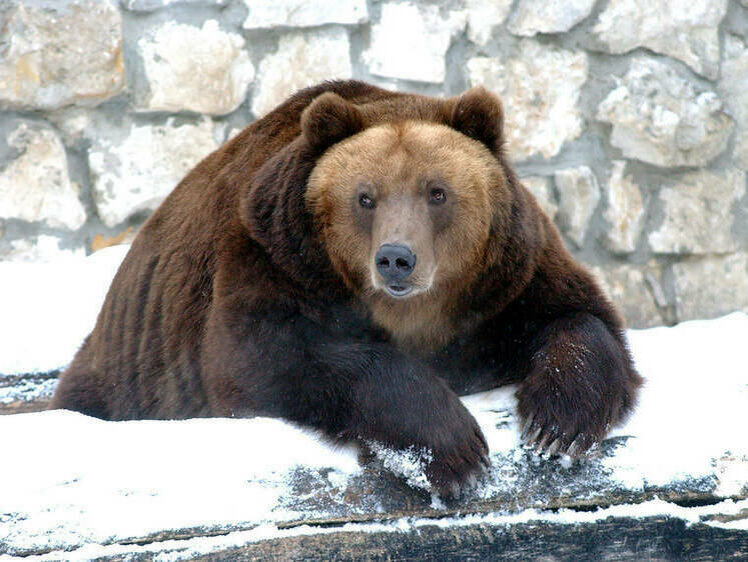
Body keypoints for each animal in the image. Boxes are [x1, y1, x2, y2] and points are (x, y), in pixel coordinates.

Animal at [49, 80, 640, 494]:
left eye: (437, 192)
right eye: (365, 197)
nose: (396, 259)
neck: (414, 315)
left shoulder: (504, 280)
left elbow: (579, 317)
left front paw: (556, 425)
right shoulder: (274, 257)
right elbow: (272, 356)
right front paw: (455, 451)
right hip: (131, 373)